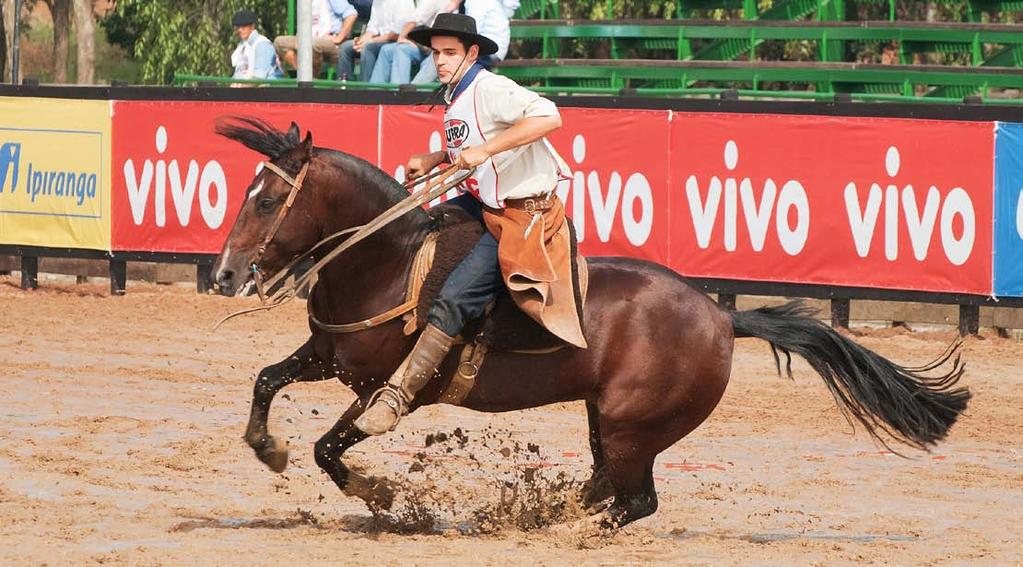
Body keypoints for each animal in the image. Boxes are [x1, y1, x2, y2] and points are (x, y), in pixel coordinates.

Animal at [209, 117, 965, 528]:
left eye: (268, 198)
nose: (224, 273)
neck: (390, 262)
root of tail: (721, 315)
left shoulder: (389, 390)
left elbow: (330, 448)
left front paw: (380, 489)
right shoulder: (327, 357)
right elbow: (265, 381)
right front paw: (267, 447)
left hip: (635, 426)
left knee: (636, 499)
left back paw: (560, 525)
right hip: (609, 418)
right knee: (609, 488)